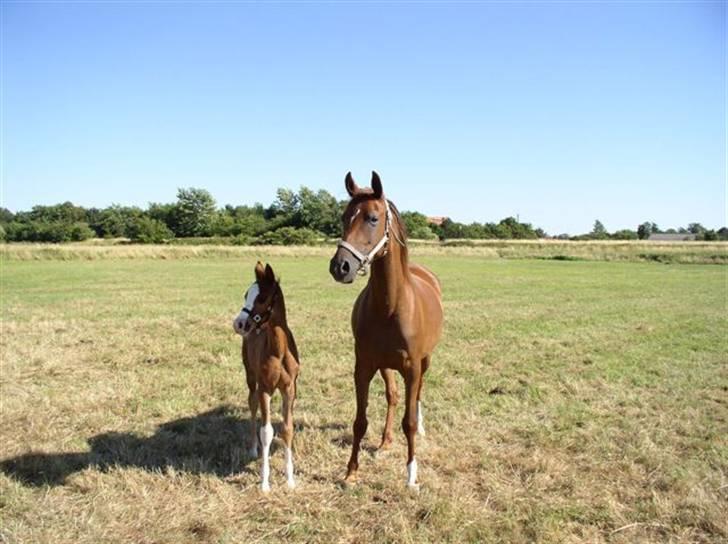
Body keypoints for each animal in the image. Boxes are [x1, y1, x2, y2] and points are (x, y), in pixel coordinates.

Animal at [235, 262, 300, 490]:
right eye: (246, 294)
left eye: (262, 298)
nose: (238, 323)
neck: (278, 351)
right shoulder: (265, 389)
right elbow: (267, 432)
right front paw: (264, 483)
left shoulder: (289, 389)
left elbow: (287, 429)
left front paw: (290, 480)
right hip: (250, 376)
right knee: (252, 404)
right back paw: (253, 449)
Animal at [330, 171, 444, 488]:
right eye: (344, 217)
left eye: (372, 218)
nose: (340, 267)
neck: (390, 306)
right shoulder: (364, 366)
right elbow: (360, 421)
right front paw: (351, 472)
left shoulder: (412, 368)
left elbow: (410, 421)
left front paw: (411, 476)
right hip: (385, 366)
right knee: (393, 397)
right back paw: (384, 442)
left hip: (425, 361)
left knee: (416, 397)